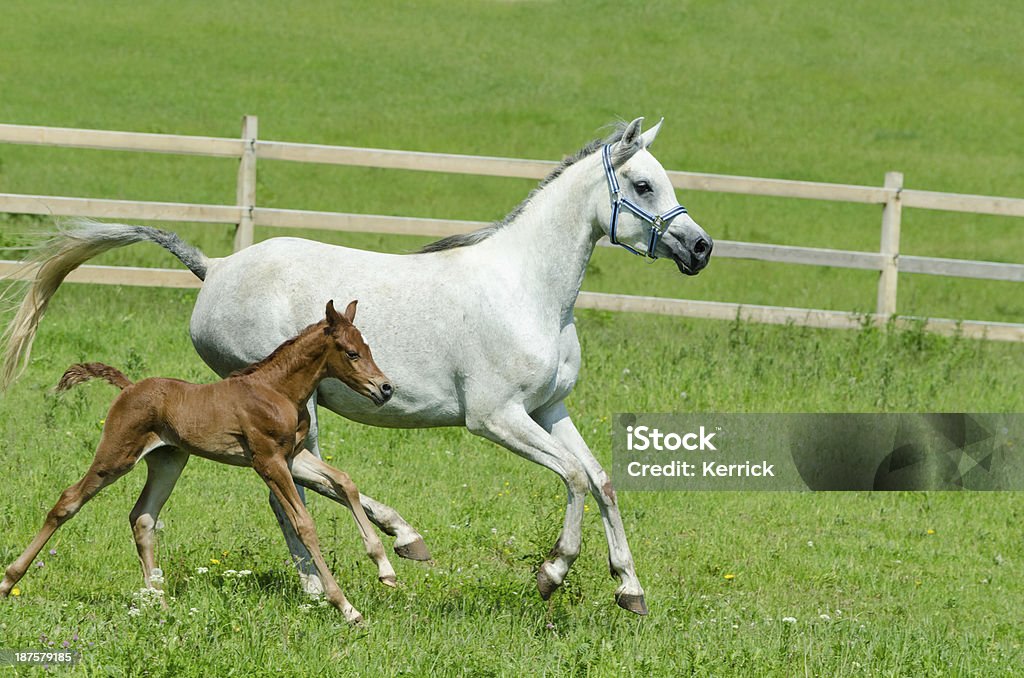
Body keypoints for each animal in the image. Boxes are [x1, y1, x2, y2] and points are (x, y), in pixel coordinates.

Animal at [0, 301, 393, 622]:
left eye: (368, 348)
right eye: (351, 353)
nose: (385, 388)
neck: (276, 391)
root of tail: (129, 387)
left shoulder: (292, 456)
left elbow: (344, 481)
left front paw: (386, 568)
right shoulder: (267, 460)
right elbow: (304, 524)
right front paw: (346, 607)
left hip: (168, 461)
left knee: (142, 517)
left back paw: (158, 604)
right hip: (115, 456)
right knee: (69, 501)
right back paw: (8, 580)